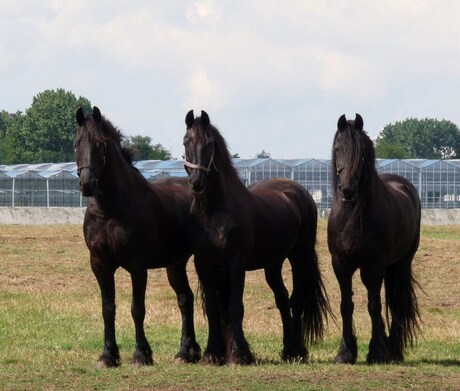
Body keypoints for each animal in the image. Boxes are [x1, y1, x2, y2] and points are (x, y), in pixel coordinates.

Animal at [74, 106, 200, 368]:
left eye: (100, 145)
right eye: (76, 144)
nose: (87, 184)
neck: (110, 209)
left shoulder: (137, 266)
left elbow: (137, 309)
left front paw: (142, 355)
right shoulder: (100, 265)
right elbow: (108, 309)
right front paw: (108, 356)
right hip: (175, 264)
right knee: (185, 299)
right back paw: (186, 352)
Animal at [181, 109, 328, 364]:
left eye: (209, 143)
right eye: (185, 141)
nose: (197, 182)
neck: (213, 213)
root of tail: (300, 191)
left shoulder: (235, 263)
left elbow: (234, 308)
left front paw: (240, 354)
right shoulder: (205, 264)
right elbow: (214, 308)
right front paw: (212, 353)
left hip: (299, 258)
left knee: (297, 301)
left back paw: (295, 349)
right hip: (273, 264)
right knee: (282, 299)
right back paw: (288, 349)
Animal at [328, 115, 420, 366]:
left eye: (361, 154)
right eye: (337, 149)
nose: (348, 190)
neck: (352, 214)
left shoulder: (376, 265)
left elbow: (374, 305)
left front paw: (376, 352)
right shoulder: (341, 264)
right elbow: (346, 305)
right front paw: (345, 352)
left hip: (401, 264)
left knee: (396, 301)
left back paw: (393, 349)